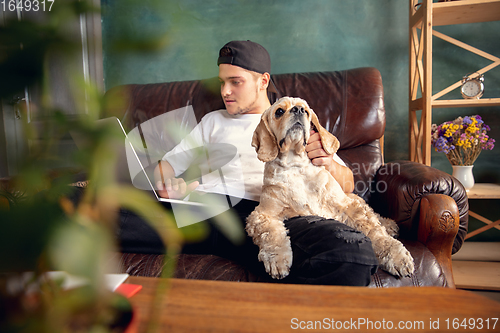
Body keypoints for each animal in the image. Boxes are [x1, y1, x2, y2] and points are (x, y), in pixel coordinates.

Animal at [246, 97, 414, 278]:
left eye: (306, 111)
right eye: (279, 112)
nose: (298, 110)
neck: (295, 165)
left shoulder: (347, 206)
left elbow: (375, 231)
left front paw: (397, 257)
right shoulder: (263, 213)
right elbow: (271, 234)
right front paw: (277, 260)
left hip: (356, 200)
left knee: (375, 216)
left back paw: (390, 225)